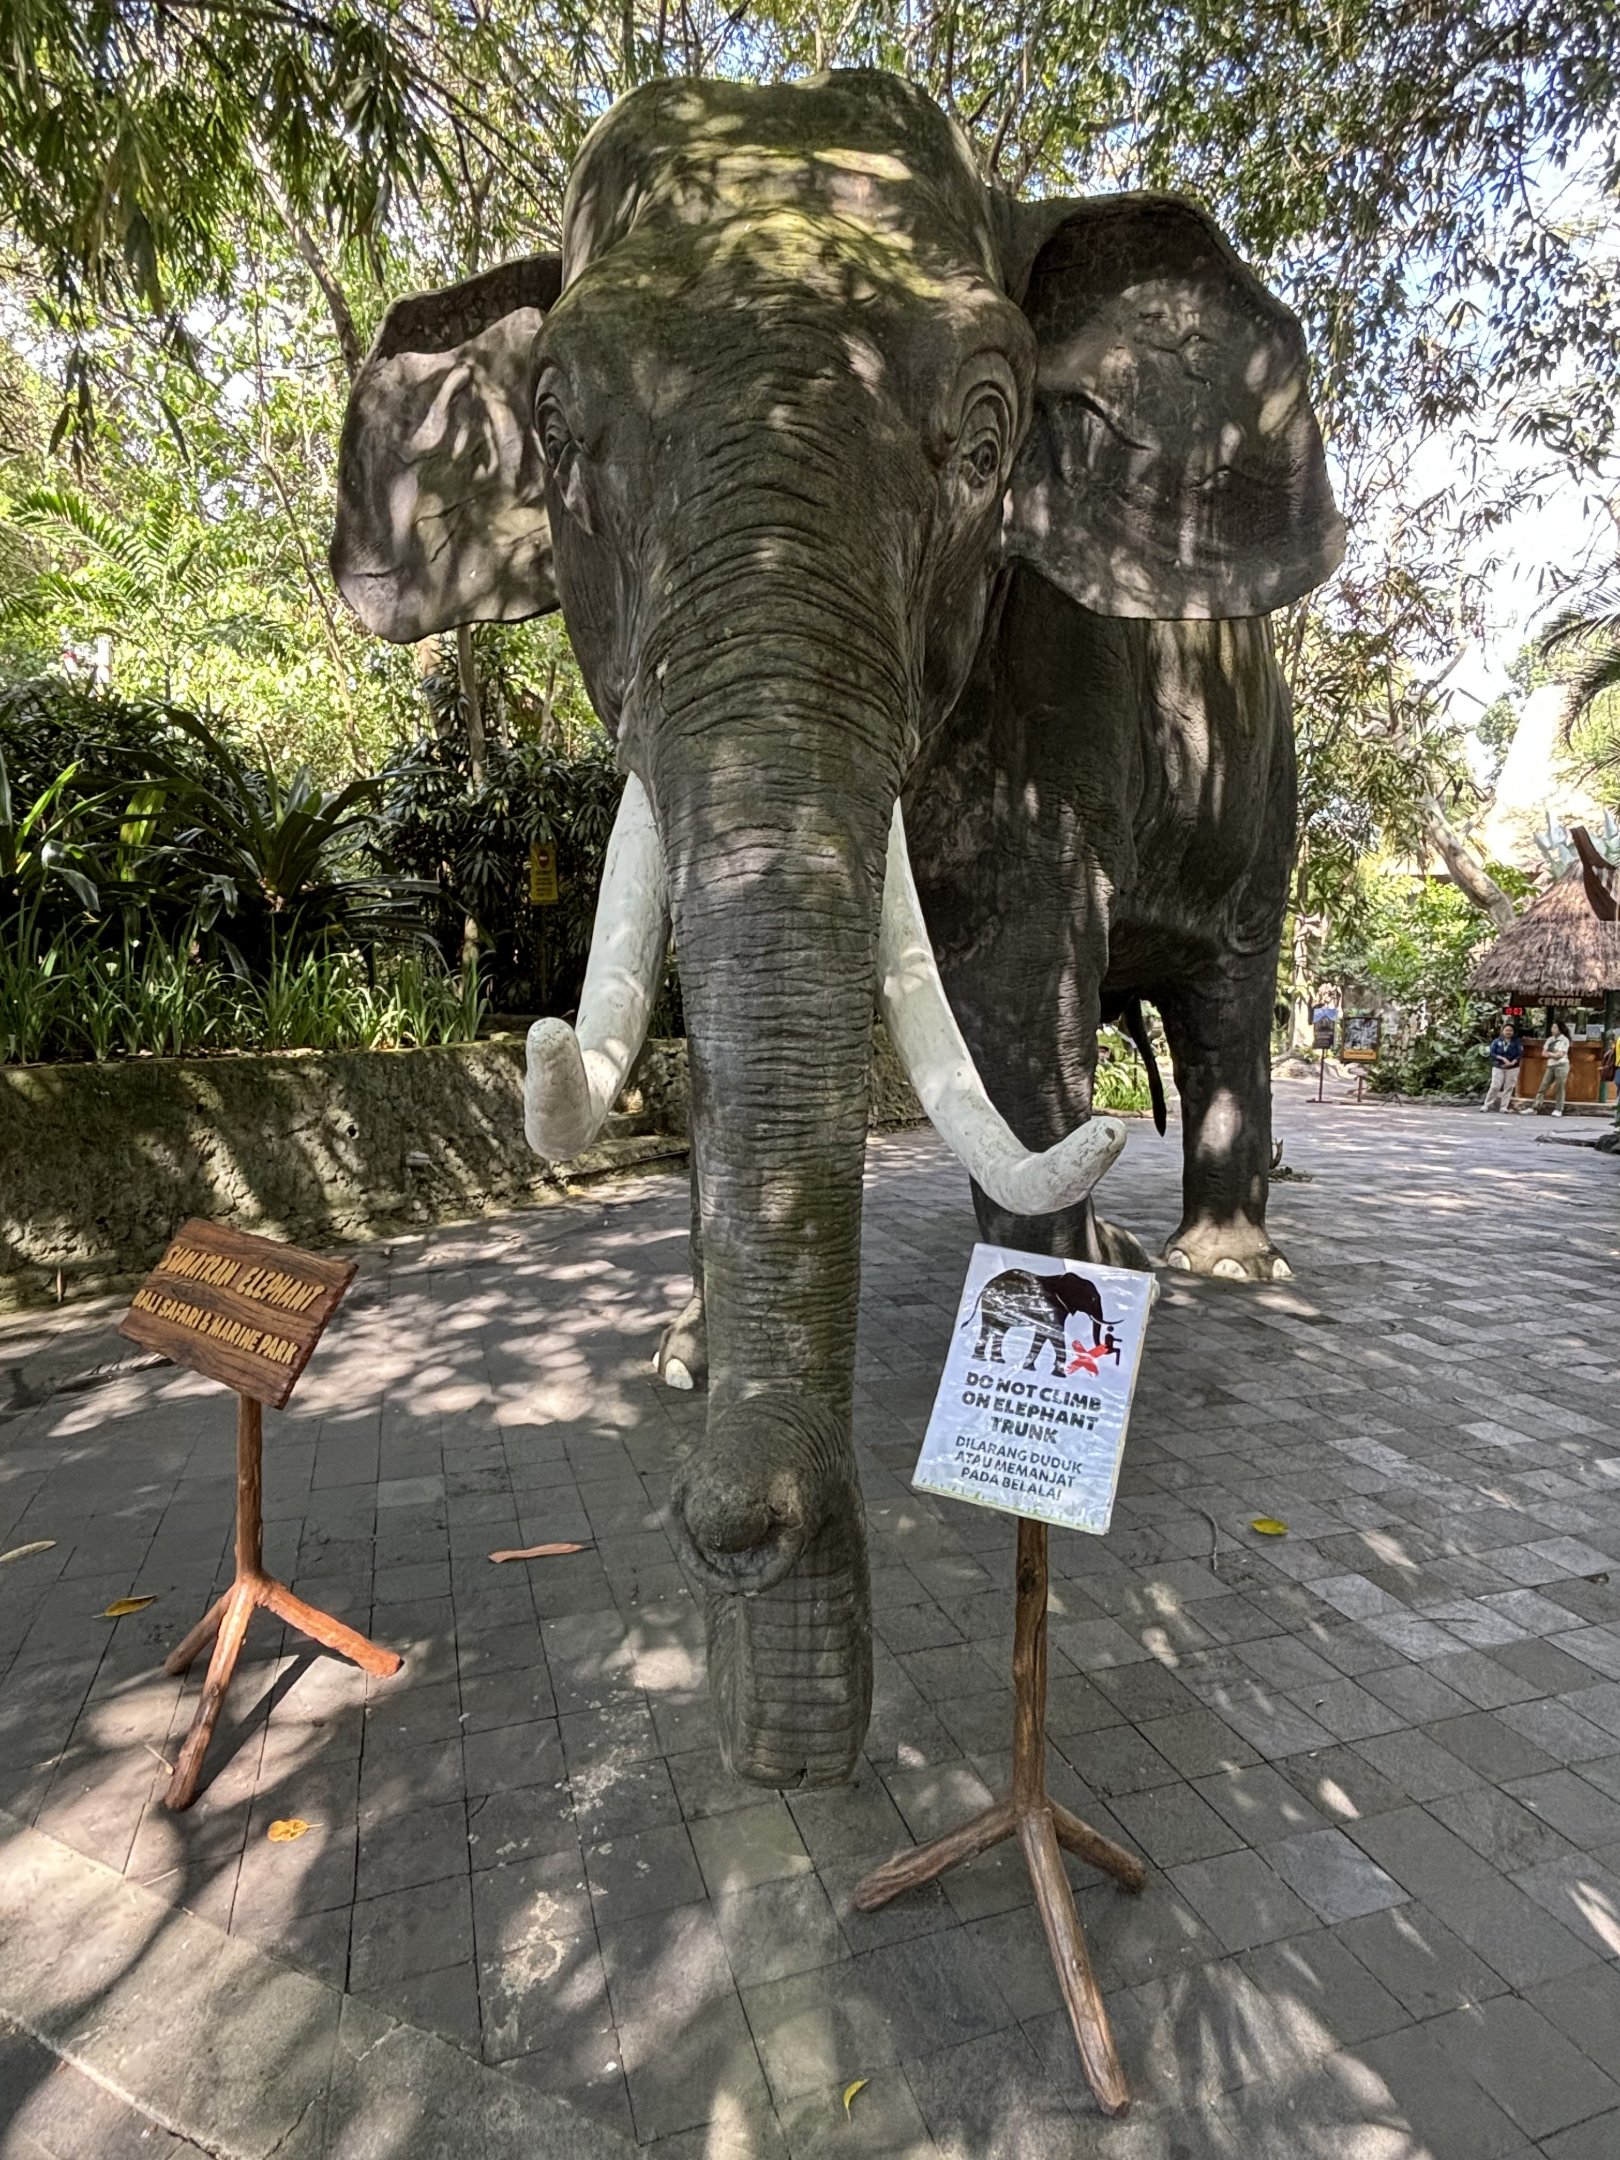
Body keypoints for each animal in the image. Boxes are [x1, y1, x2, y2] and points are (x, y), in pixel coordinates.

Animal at [969, 1268, 1117, 1376]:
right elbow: (1055, 1334)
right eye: (1093, 1299)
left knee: (999, 1330)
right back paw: (982, 1359)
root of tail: (987, 1285)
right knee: (989, 1328)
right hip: (992, 1305)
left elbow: (1042, 1335)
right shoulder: (1049, 1308)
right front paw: (1059, 1375)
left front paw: (1029, 1368)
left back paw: (997, 1361)